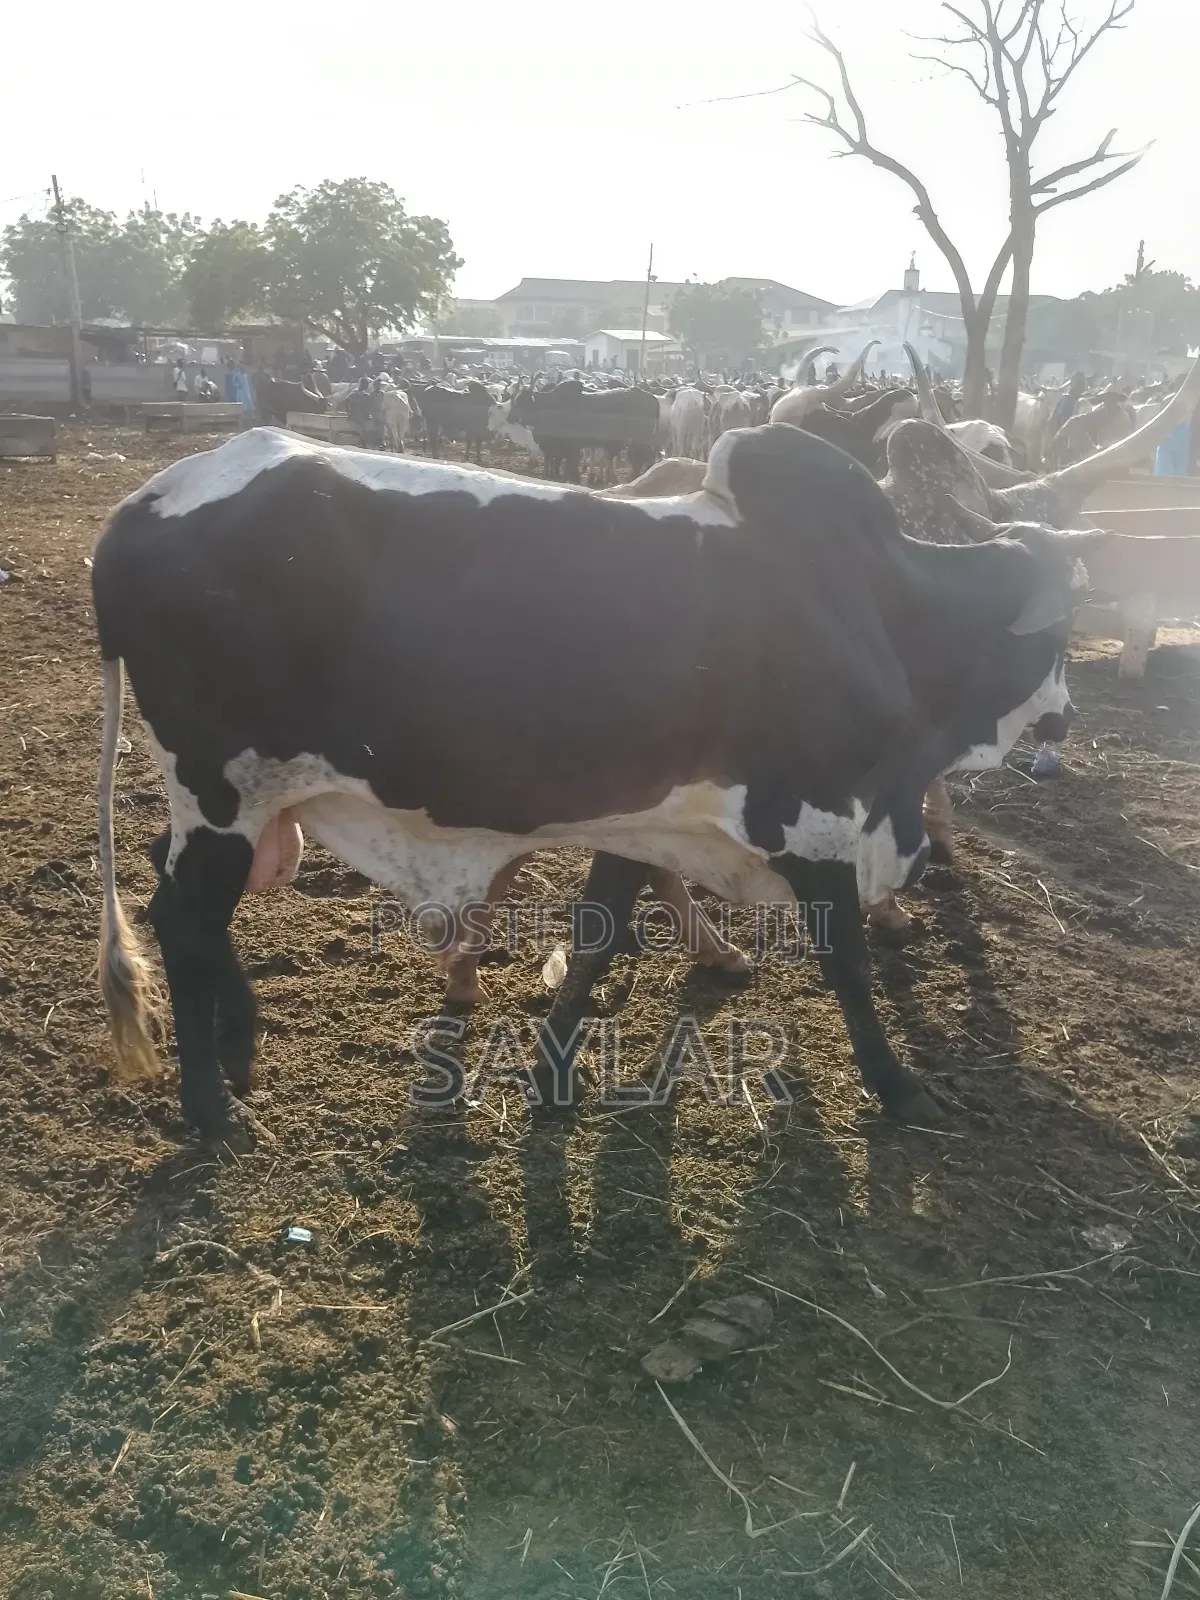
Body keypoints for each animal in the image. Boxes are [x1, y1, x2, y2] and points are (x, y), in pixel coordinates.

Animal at [93, 423, 1093, 1149]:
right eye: (1061, 633)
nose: (1063, 717)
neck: (882, 609)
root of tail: (139, 506)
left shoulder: (645, 819)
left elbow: (602, 934)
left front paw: (551, 1070)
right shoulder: (815, 821)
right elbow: (845, 959)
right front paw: (897, 1086)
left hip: (237, 804)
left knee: (170, 885)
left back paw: (240, 1045)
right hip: (223, 794)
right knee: (181, 921)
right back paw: (211, 1109)